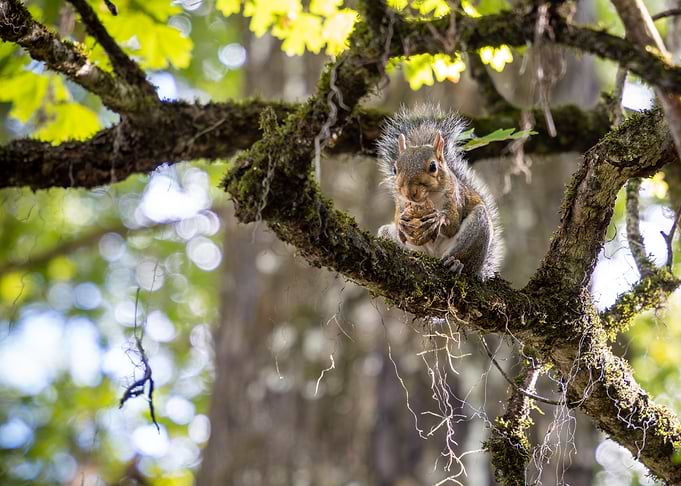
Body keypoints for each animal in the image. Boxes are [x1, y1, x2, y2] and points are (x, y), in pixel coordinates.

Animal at [376, 104, 504, 280]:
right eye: (395, 169)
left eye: (433, 167)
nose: (409, 192)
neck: (428, 198)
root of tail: (433, 255)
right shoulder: (401, 202)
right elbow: (398, 217)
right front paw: (401, 221)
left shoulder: (454, 198)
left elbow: (453, 224)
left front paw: (439, 218)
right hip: (390, 236)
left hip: (478, 227)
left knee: (464, 258)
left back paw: (456, 263)